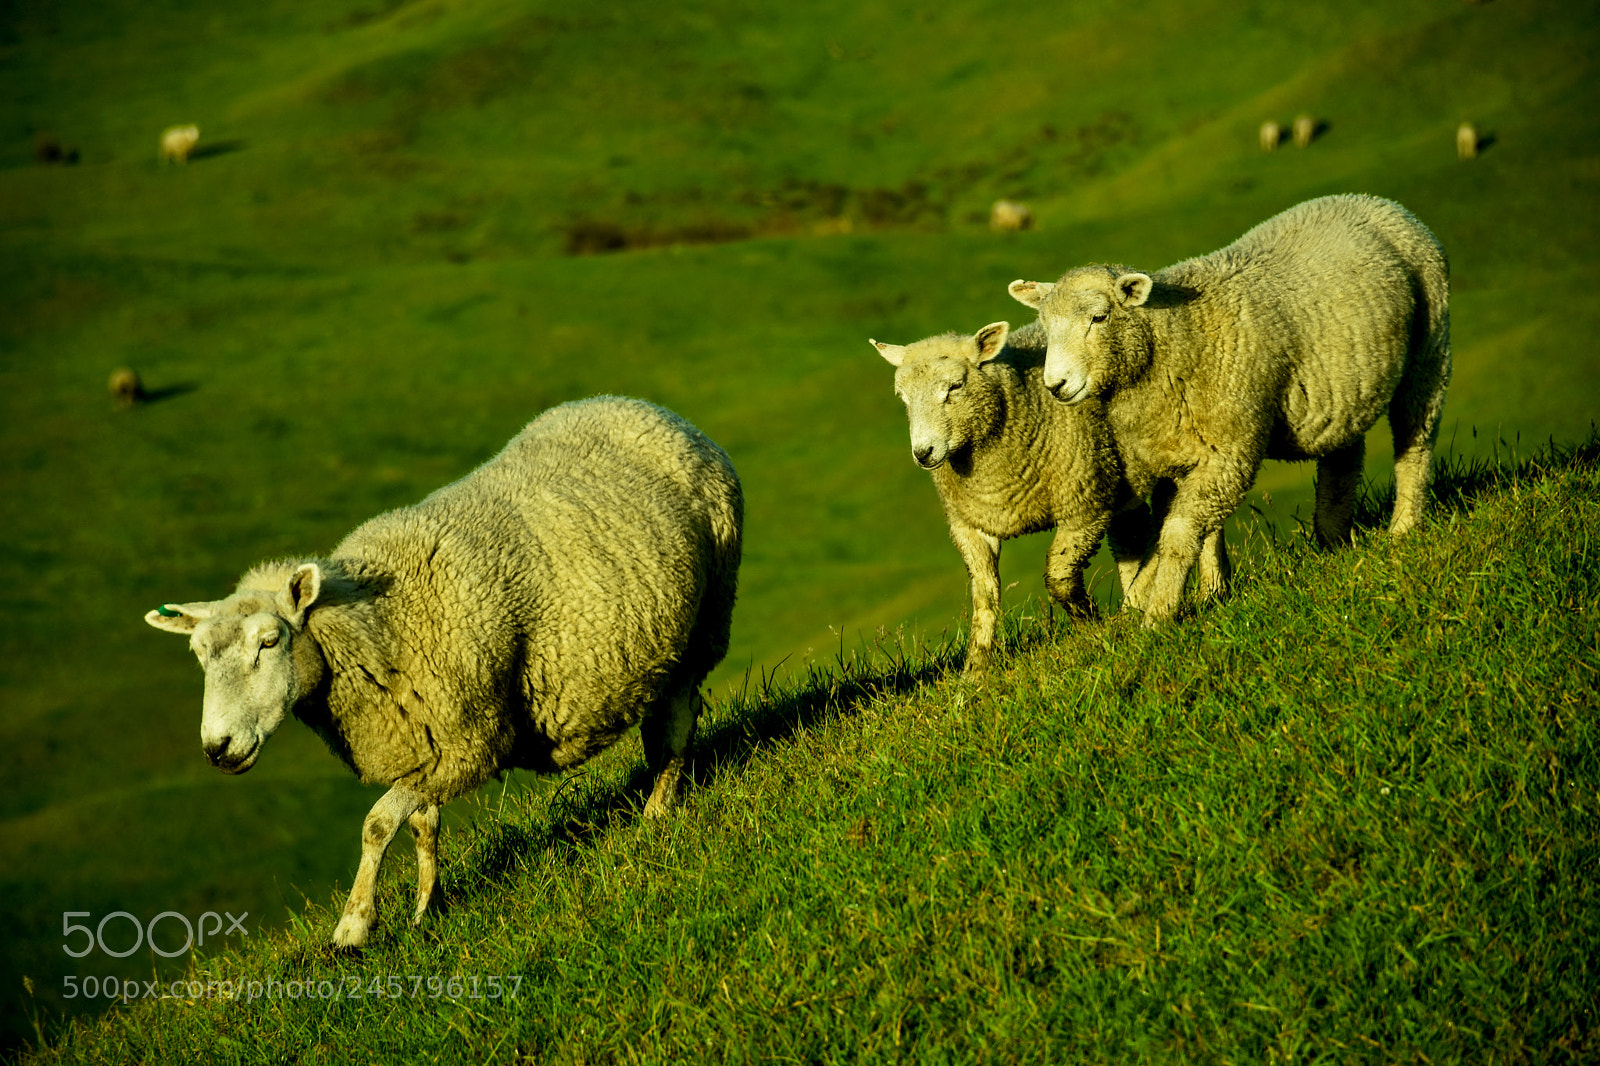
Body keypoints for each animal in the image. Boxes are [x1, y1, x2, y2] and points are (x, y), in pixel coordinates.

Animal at [144, 396, 743, 947]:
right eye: (198, 653)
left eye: (270, 642)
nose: (217, 748)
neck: (378, 623)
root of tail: (651, 409)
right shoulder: (425, 740)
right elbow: (420, 825)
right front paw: (425, 907)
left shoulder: (468, 741)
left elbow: (378, 823)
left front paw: (353, 927)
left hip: (704, 621)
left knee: (677, 722)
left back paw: (658, 814)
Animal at [869, 320, 1229, 672]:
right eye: (903, 397)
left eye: (955, 387)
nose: (923, 453)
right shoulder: (969, 525)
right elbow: (984, 595)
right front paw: (976, 668)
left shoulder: (1084, 506)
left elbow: (1058, 576)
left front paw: (1091, 626)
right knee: (1132, 538)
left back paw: (1210, 590)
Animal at [1008, 193, 1451, 624]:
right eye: (1045, 327)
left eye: (1099, 318)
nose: (1056, 385)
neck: (1174, 340)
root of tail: (1371, 200)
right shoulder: (1180, 452)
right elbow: (1201, 532)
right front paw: (1211, 592)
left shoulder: (1229, 448)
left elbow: (1178, 535)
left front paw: (1158, 615)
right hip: (1342, 387)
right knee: (1343, 457)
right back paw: (1333, 538)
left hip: (1430, 344)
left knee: (1415, 439)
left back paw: (1403, 529)